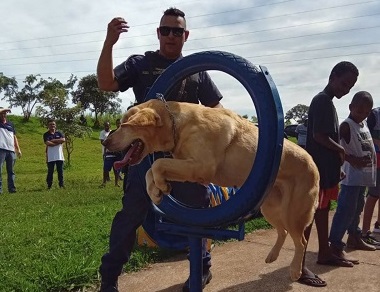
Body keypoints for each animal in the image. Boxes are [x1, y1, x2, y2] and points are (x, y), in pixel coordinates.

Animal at [102, 98, 320, 280]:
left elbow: (157, 164)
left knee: (300, 241)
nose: (105, 141)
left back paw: (295, 271)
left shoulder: (200, 166)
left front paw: (160, 186)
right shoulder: (188, 167)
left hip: (294, 213)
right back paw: (272, 256)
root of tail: (313, 162)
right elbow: (152, 170)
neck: (177, 124)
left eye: (124, 125)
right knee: (283, 232)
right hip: (270, 208)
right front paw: (156, 191)